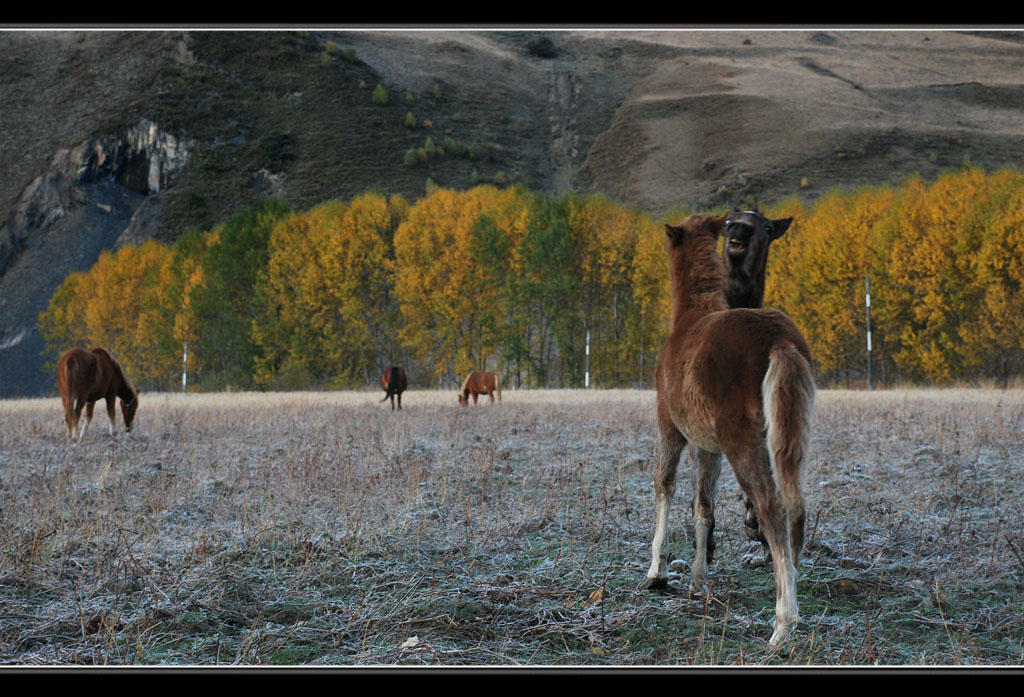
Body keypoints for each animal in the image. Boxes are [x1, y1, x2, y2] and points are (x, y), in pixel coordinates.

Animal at [638, 214, 815, 650]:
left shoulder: (670, 426)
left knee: (772, 508)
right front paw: (698, 580)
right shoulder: (709, 446)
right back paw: (791, 584)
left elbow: (664, 485)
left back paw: (783, 624)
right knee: (797, 505)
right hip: (789, 436)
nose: (737, 231)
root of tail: (779, 342)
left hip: (743, 442)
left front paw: (657, 573)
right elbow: (704, 504)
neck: (689, 317)